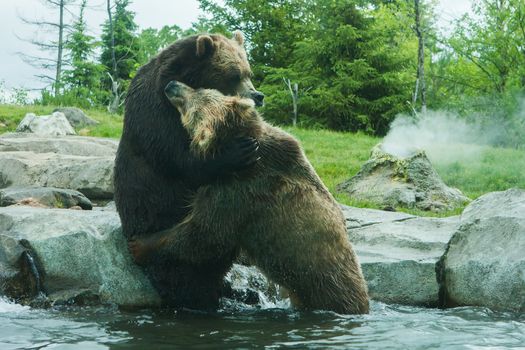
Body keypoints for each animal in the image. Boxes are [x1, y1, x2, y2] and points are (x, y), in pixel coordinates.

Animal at [114, 31, 262, 310]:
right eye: (234, 75)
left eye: (249, 71)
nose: (258, 95)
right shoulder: (157, 113)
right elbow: (181, 159)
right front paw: (239, 150)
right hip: (157, 219)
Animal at [130, 81, 368, 314]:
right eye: (200, 88)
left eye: (190, 106)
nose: (172, 85)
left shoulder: (240, 192)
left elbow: (204, 235)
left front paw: (140, 243)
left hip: (325, 284)